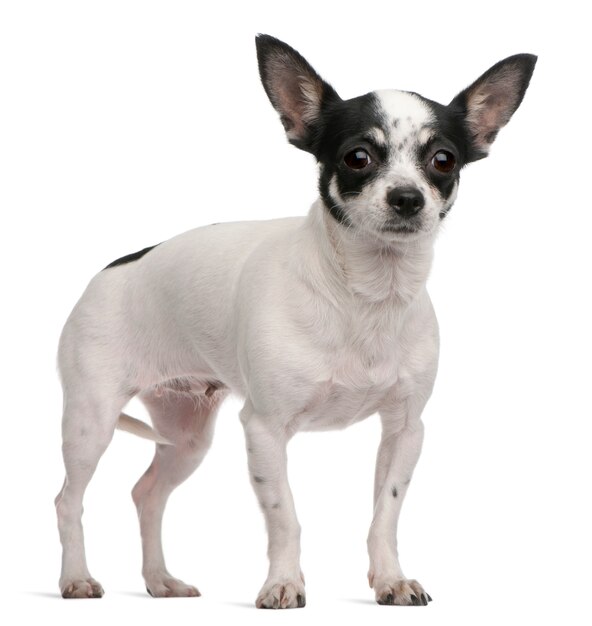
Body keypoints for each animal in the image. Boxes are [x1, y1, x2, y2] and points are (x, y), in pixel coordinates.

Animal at [54, 34, 536, 604]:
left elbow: (385, 515)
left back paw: (159, 580)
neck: (366, 295)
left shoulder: (404, 431)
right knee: (69, 499)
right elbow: (285, 517)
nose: (407, 197)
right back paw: (76, 578)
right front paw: (283, 584)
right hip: (91, 423)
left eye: (443, 160)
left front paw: (390, 579)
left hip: (186, 437)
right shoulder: (265, 429)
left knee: (147, 493)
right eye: (357, 157)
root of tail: (107, 273)